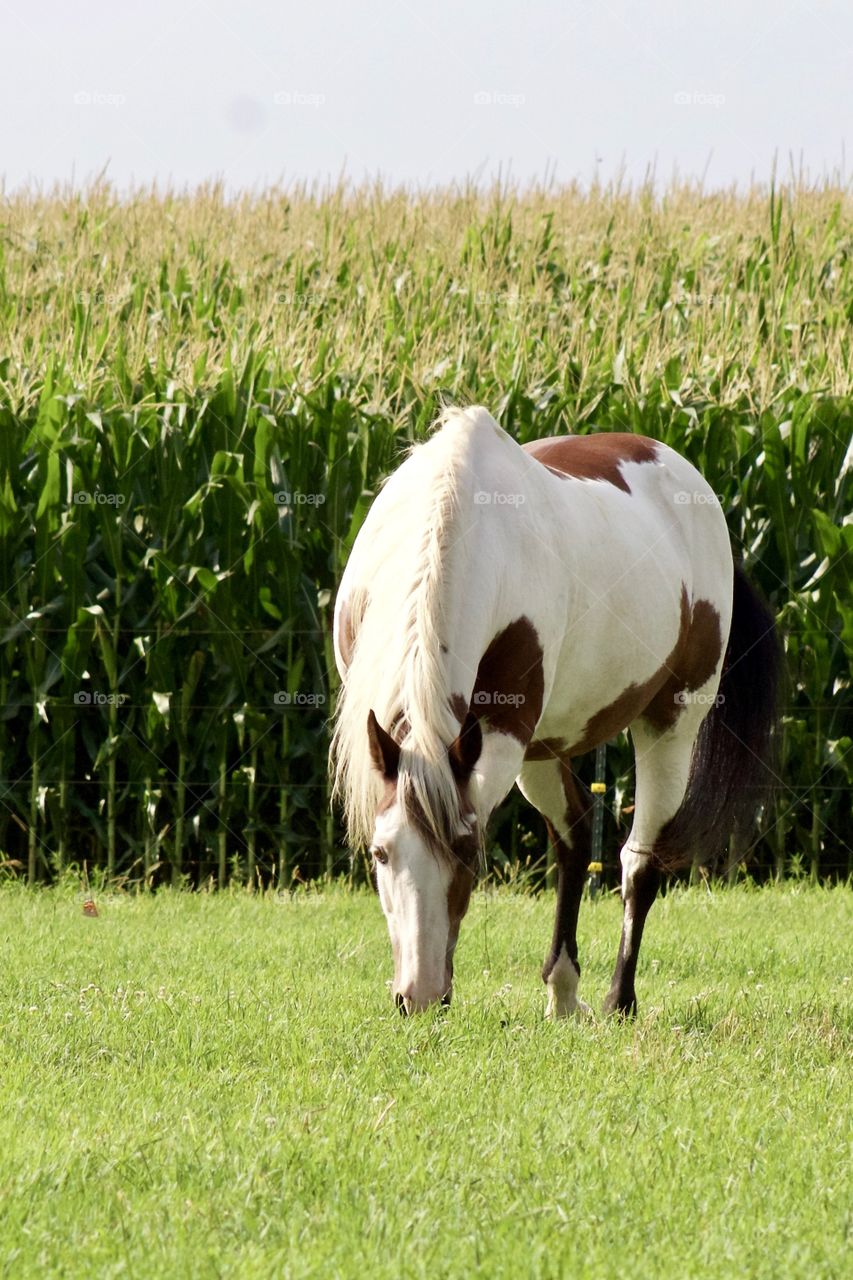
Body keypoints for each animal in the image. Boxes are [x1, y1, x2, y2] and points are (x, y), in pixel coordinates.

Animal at [331, 406, 779, 1017]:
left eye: (469, 854)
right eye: (379, 854)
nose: (418, 997)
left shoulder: (501, 737)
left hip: (670, 725)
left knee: (639, 859)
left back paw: (617, 1000)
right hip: (545, 750)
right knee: (575, 835)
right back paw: (563, 993)